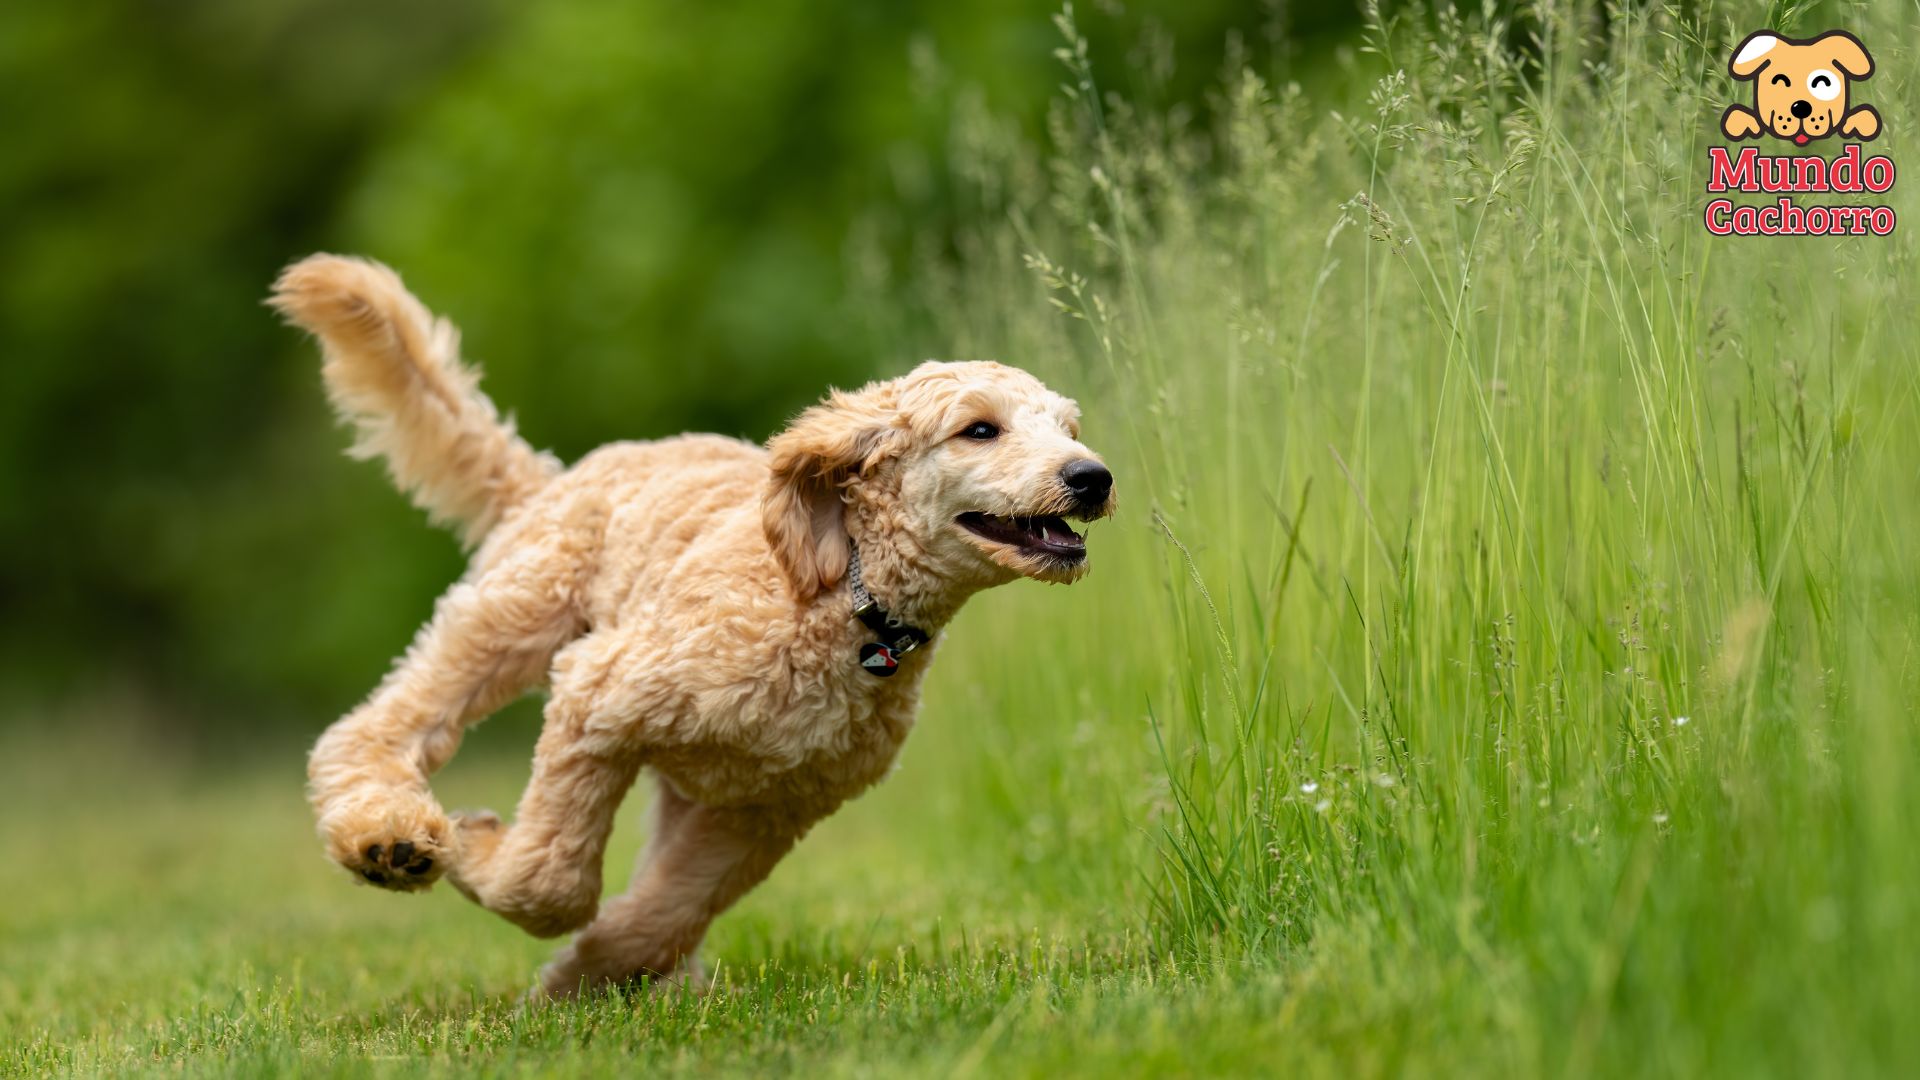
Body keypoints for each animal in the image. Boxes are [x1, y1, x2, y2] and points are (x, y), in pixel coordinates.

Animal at [270, 251, 1113, 991]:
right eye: (980, 429)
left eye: (1069, 428)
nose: (1093, 476)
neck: (846, 606)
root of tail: (555, 476)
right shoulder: (598, 696)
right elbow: (550, 881)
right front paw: (480, 855)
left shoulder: (769, 808)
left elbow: (667, 907)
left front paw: (589, 977)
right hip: (515, 616)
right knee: (377, 727)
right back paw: (385, 838)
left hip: (684, 776)